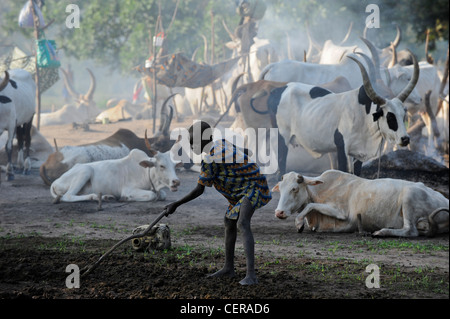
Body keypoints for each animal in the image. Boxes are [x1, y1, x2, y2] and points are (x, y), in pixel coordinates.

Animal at [272, 170, 450, 238]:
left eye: (294, 189)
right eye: (281, 189)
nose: (279, 212)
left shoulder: (342, 214)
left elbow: (310, 206)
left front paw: (298, 223)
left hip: (409, 196)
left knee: (411, 231)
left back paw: (381, 232)